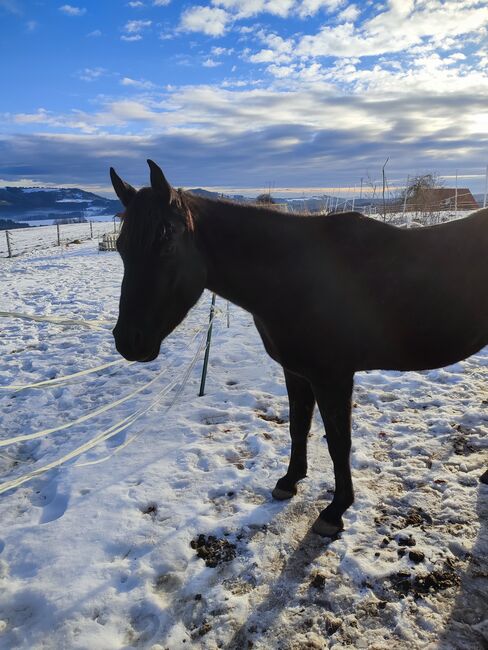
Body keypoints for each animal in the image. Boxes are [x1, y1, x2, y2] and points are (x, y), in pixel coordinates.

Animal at [110, 159, 488, 536]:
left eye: (166, 243)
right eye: (121, 247)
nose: (129, 341)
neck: (300, 275)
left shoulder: (333, 378)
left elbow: (338, 442)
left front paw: (335, 510)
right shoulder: (296, 372)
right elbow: (298, 427)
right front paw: (290, 481)